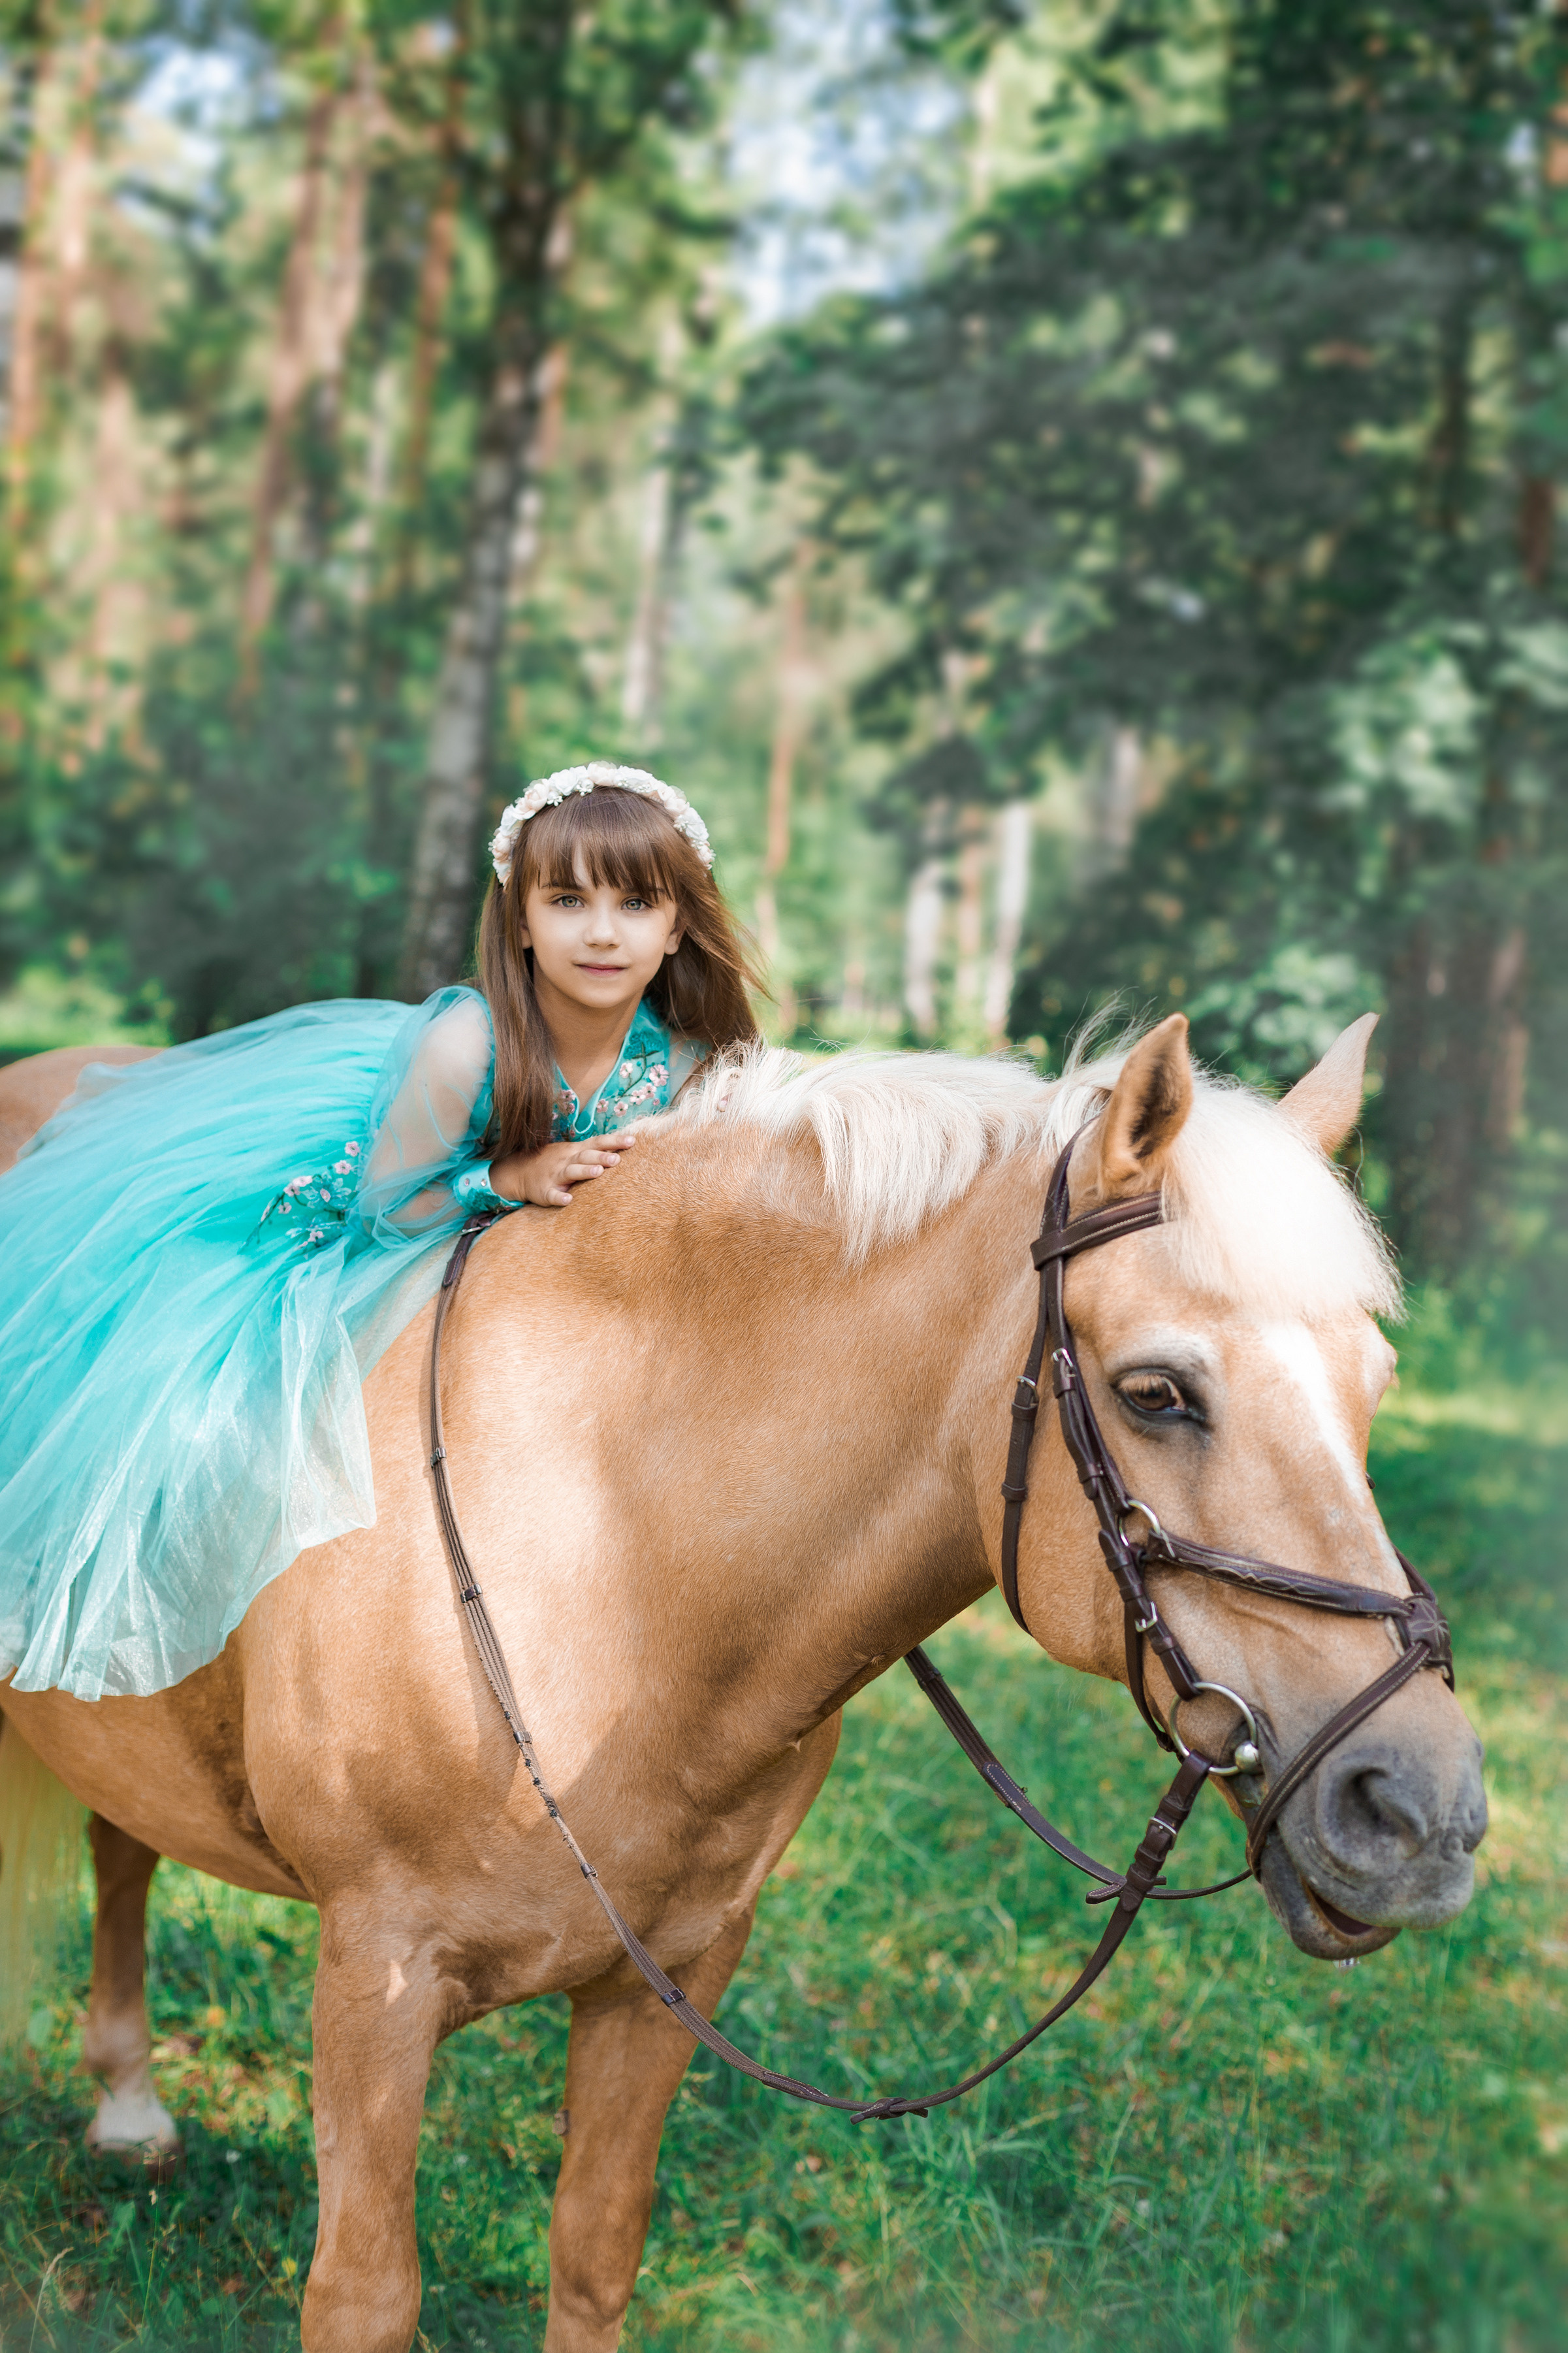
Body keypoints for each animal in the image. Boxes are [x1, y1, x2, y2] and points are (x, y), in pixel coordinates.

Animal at [0, 1013, 1486, 2353]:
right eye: (1158, 1392)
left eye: (1374, 1384)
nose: (1423, 1814)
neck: (605, 1536)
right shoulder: (377, 1981)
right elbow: (365, 2297)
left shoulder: (676, 1972)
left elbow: (595, 2253)